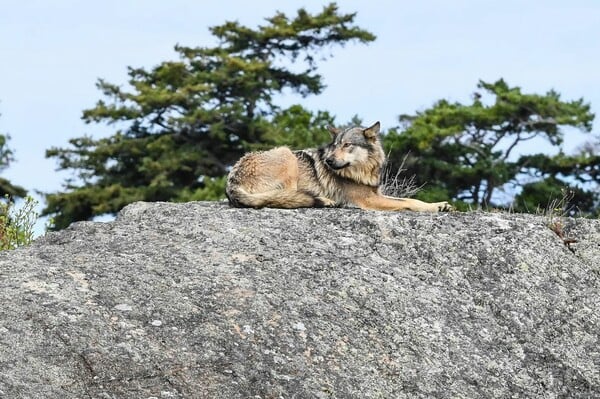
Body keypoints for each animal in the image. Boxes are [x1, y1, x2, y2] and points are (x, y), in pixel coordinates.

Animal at [225, 122, 450, 214]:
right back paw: (325, 201)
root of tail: (231, 183)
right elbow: (409, 201)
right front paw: (434, 208)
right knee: (286, 198)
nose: (328, 161)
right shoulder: (370, 200)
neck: (363, 171)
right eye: (335, 145)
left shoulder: (375, 193)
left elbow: (412, 200)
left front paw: (441, 205)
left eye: (347, 145)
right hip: (287, 154)